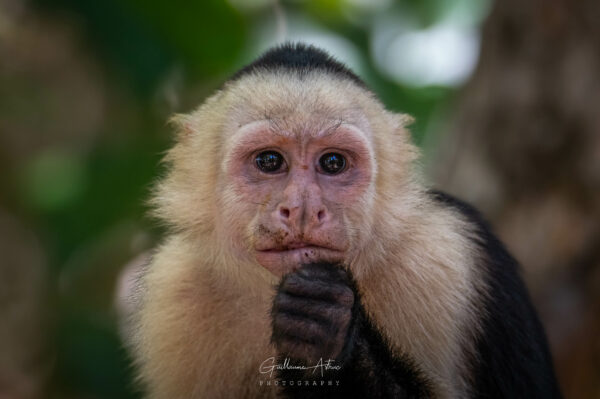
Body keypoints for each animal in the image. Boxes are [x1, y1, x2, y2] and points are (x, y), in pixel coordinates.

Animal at [127, 42, 564, 398]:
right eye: (269, 161)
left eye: (333, 163)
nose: (302, 209)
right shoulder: (175, 291)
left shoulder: (448, 253)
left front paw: (327, 335)